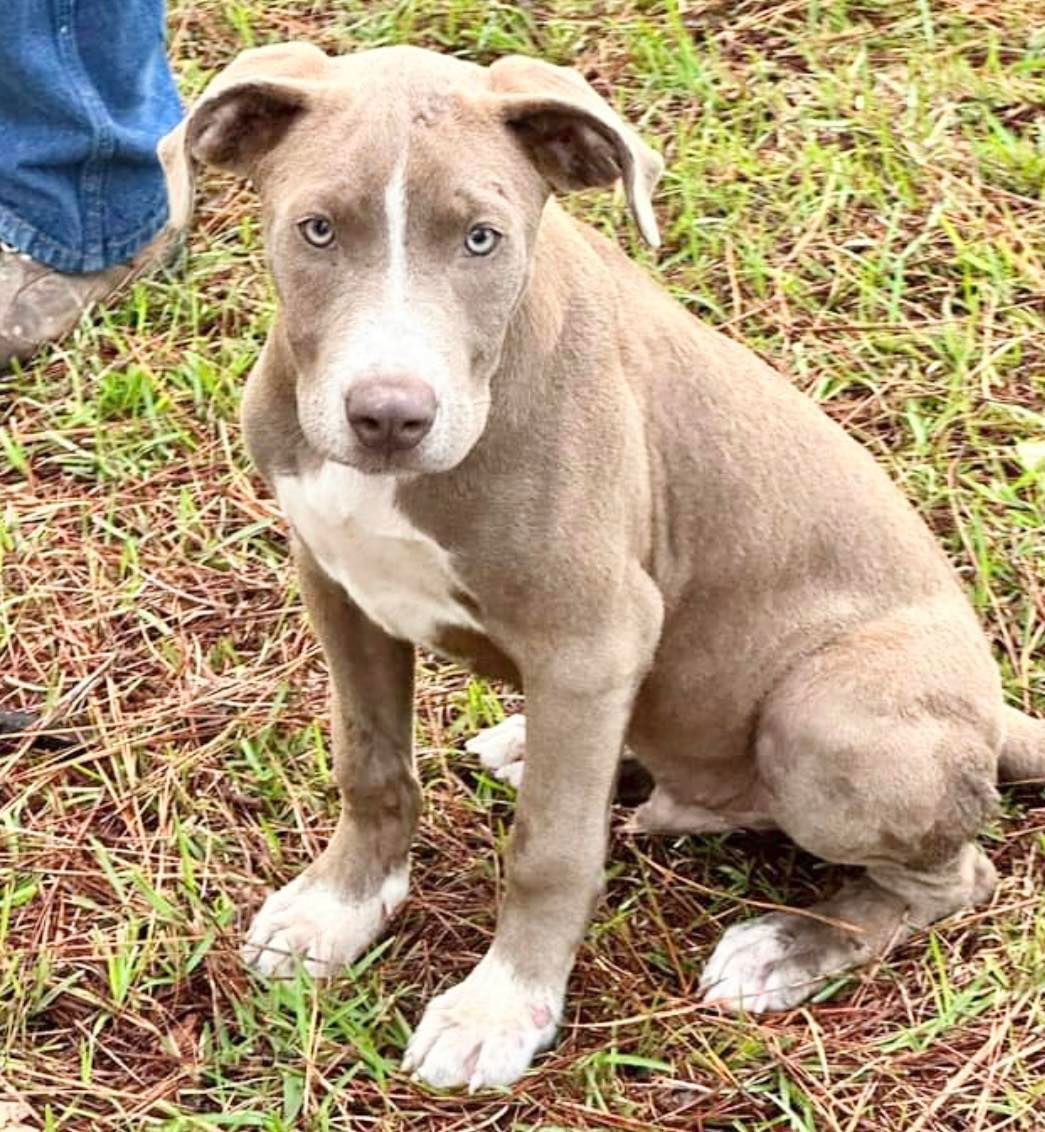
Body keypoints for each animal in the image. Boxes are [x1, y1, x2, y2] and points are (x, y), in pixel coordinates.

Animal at [159, 46, 1041, 1095]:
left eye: (483, 239)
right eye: (318, 229)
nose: (389, 415)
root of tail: (991, 715)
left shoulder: (592, 635)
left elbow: (548, 848)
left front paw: (501, 1007)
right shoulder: (337, 583)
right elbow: (369, 765)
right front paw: (342, 904)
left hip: (827, 720)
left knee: (958, 876)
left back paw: (789, 947)